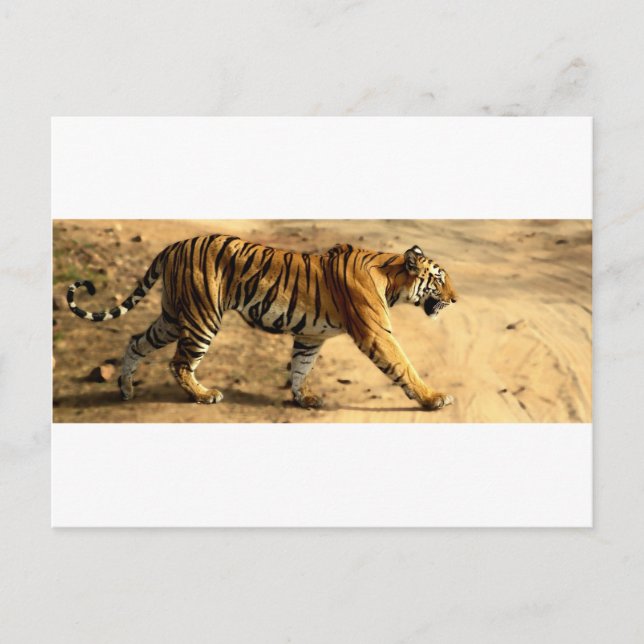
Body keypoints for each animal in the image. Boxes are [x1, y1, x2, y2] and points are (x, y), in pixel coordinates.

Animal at [67, 235, 458, 410]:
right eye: (439, 280)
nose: (455, 299)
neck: (393, 279)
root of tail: (175, 245)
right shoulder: (377, 333)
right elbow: (404, 366)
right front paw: (434, 398)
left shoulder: (310, 336)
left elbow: (300, 367)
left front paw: (304, 398)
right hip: (202, 317)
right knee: (179, 363)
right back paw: (204, 395)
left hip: (173, 316)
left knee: (136, 340)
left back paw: (125, 389)